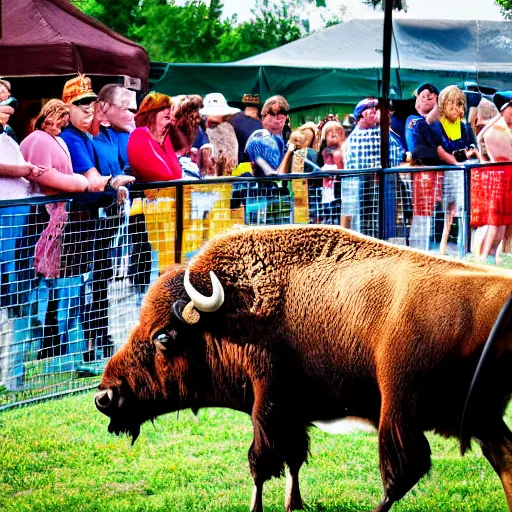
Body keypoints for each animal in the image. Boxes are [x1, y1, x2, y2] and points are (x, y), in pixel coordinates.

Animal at [95, 226, 512, 510]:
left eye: (164, 336)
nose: (104, 396)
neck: (236, 312)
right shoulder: (293, 414)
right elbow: (294, 459)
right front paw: (293, 504)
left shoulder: (268, 406)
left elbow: (261, 462)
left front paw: (259, 508)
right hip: (480, 414)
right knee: (502, 456)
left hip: (399, 406)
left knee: (404, 470)